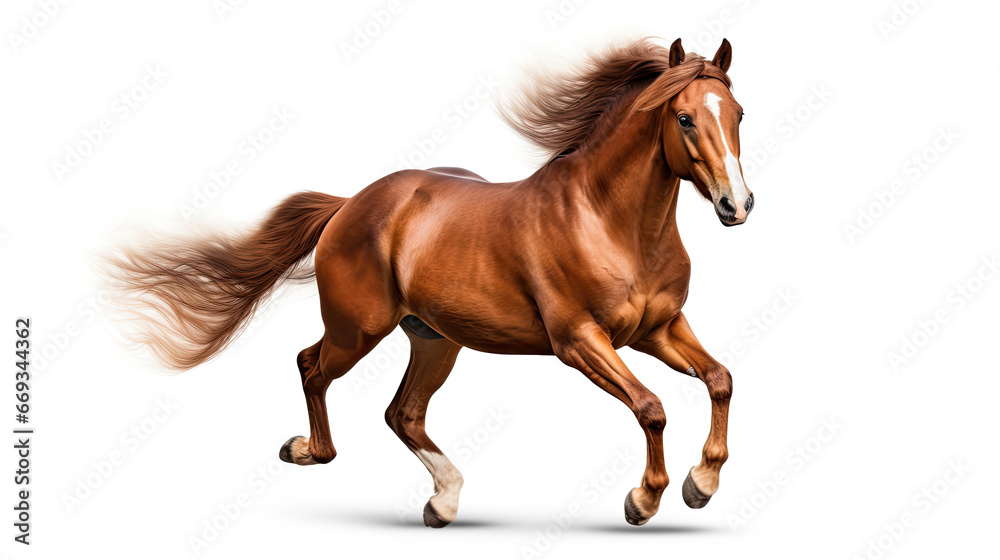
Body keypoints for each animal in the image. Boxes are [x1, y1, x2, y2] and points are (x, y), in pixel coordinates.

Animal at [102, 37, 753, 528]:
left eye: (738, 113)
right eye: (684, 117)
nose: (737, 205)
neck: (612, 224)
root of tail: (348, 205)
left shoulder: (657, 330)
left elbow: (720, 379)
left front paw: (701, 483)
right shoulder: (578, 340)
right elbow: (651, 407)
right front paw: (645, 499)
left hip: (434, 339)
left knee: (403, 413)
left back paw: (443, 501)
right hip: (358, 330)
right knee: (312, 366)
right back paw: (308, 451)